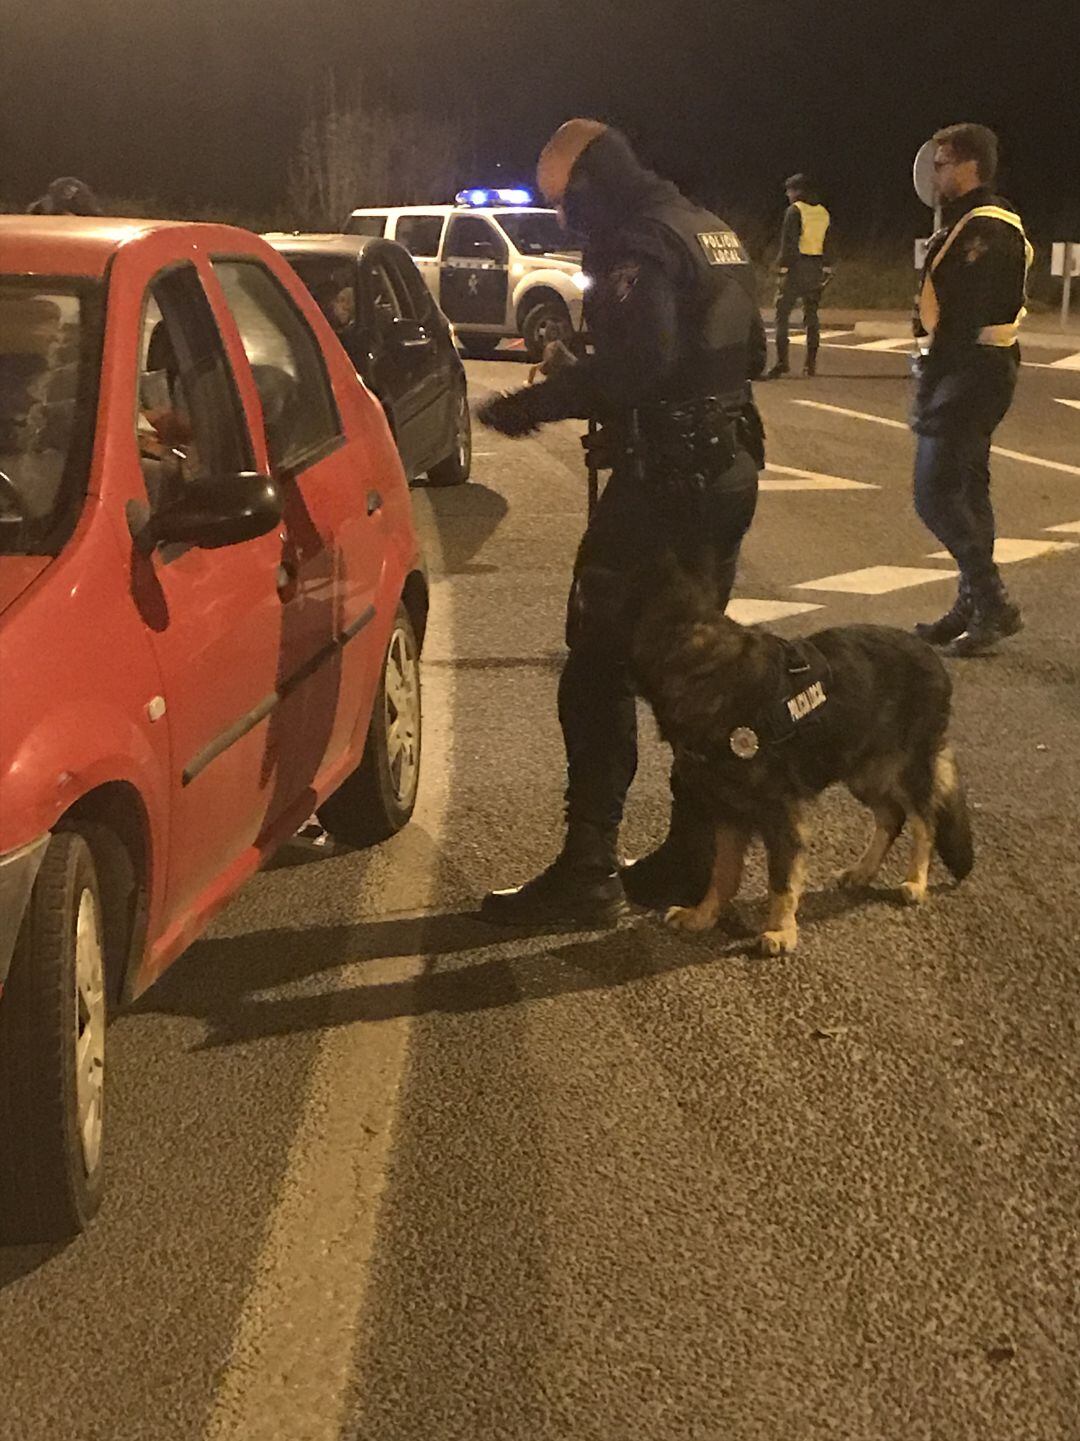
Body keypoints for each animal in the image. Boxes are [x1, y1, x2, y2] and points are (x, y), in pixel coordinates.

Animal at [628, 561, 974, 956]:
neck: (712, 675)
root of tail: (930, 653)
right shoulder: (729, 811)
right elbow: (722, 873)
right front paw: (704, 915)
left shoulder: (781, 813)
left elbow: (781, 878)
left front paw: (780, 930)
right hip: (864, 771)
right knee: (891, 816)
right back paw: (863, 871)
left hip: (905, 770)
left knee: (923, 822)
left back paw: (915, 881)